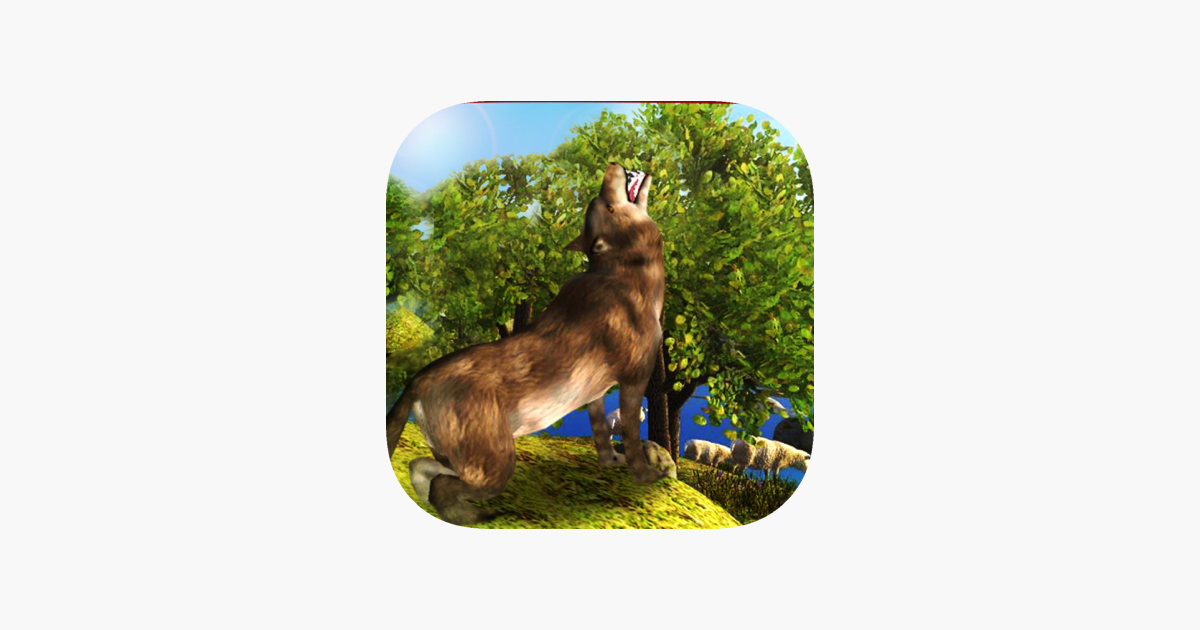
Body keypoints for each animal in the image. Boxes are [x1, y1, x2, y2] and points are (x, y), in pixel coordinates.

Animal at [386, 163, 668, 525]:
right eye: (606, 205)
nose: (612, 165)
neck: (628, 275)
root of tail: (417, 379)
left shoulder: (595, 393)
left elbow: (601, 433)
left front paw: (609, 462)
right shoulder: (635, 380)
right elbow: (632, 438)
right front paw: (646, 478)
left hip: (460, 459)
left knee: (419, 468)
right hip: (496, 463)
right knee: (441, 485)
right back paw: (477, 516)